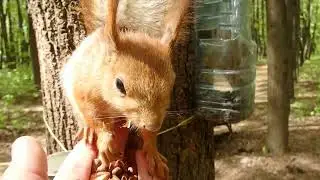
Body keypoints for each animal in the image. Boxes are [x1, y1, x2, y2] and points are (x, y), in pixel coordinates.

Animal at [60, 0, 190, 178]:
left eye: (173, 82)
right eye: (119, 85)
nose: (153, 126)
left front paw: (152, 151)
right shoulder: (83, 89)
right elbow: (93, 115)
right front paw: (105, 140)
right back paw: (87, 129)